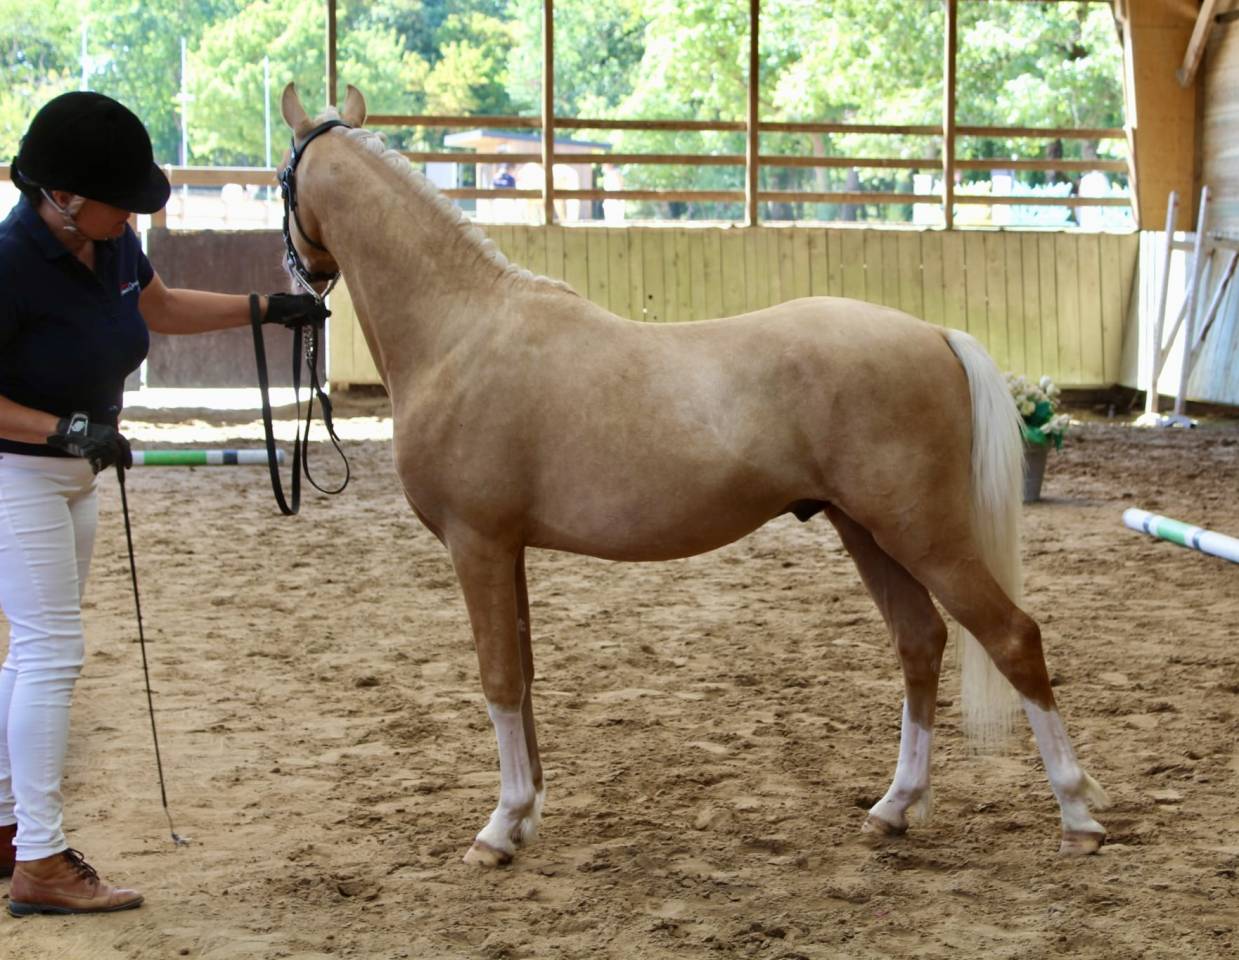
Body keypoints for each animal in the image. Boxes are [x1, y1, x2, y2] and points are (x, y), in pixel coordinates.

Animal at [276, 83, 1108, 867]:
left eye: (280, 177)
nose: (296, 277)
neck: (462, 331)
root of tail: (933, 333)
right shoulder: (506, 550)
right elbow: (524, 672)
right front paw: (526, 815)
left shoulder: (475, 543)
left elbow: (500, 680)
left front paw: (498, 829)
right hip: (868, 532)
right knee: (919, 642)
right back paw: (894, 807)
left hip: (919, 531)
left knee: (1011, 638)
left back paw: (1077, 818)